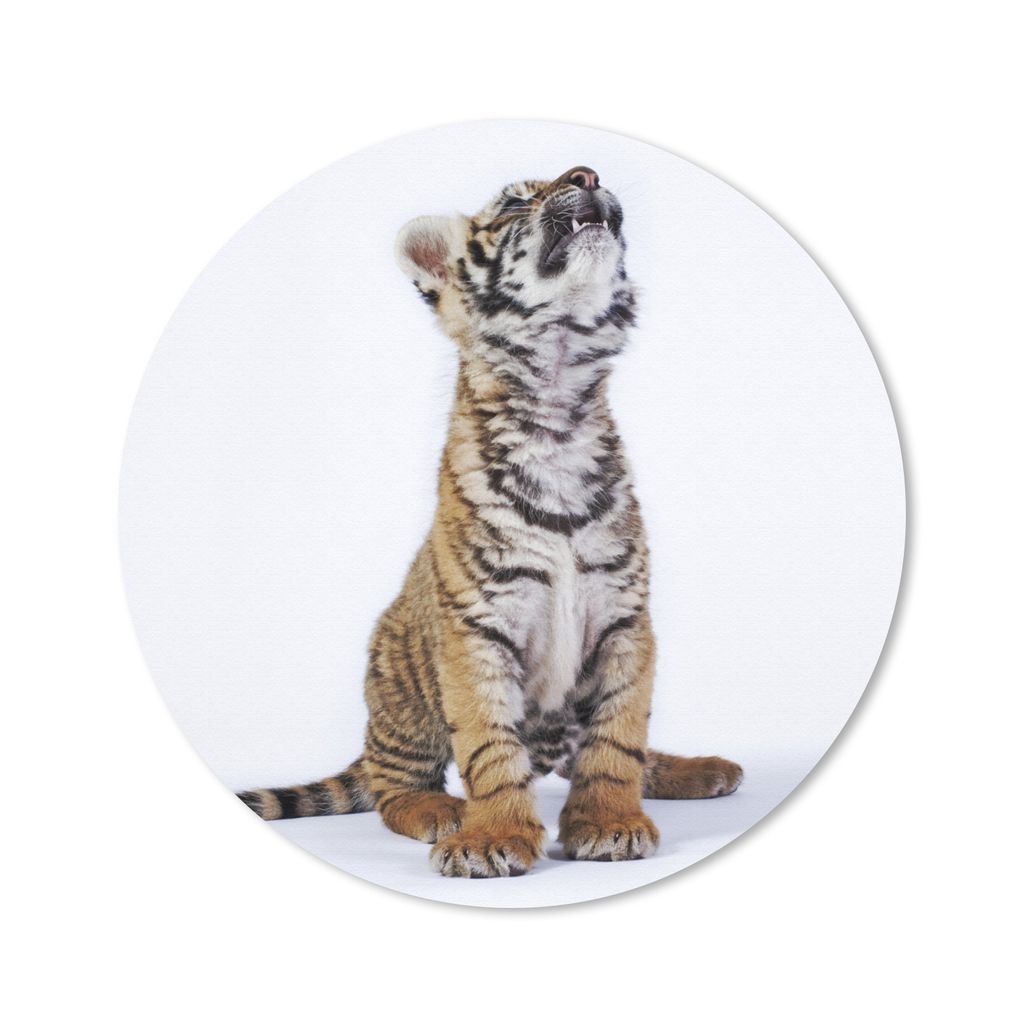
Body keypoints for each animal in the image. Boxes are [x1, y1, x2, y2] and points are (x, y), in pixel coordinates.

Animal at [238, 165, 743, 878]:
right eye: (515, 202)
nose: (588, 173)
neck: (557, 402)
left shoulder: (626, 618)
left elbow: (619, 737)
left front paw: (610, 823)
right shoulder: (476, 626)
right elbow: (487, 746)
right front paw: (491, 836)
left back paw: (699, 770)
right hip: (401, 686)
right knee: (393, 786)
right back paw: (439, 812)